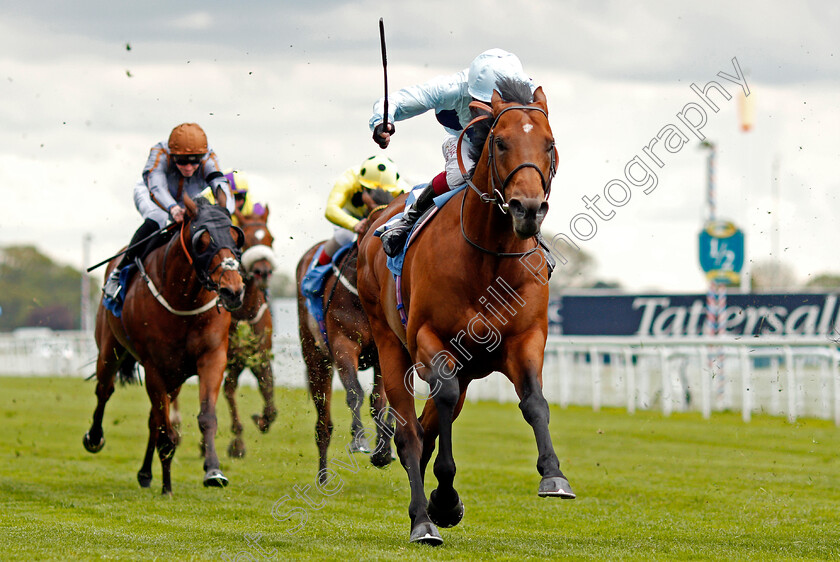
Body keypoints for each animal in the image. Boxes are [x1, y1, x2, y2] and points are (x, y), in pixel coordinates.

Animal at [84, 194, 244, 494]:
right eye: (202, 240)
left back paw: (146, 473)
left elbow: (205, 417)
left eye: (234, 236)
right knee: (104, 390)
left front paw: (213, 470)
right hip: (110, 350)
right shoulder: (155, 367)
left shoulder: (212, 357)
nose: (233, 290)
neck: (184, 299)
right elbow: (165, 430)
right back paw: (95, 438)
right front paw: (167, 486)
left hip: (175, 377)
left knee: (152, 418)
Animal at [296, 186, 398, 480]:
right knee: (323, 420)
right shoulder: (343, 344)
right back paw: (322, 475)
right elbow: (355, 392)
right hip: (316, 358)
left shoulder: (382, 352)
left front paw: (384, 450)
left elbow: (379, 401)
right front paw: (359, 439)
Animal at [358, 80, 576, 544]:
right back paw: (423, 520)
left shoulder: (525, 339)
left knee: (427, 425)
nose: (528, 208)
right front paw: (443, 498)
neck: (488, 259)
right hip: (390, 343)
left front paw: (553, 475)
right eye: (500, 142)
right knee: (410, 431)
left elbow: (534, 401)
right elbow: (438, 405)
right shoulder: (432, 340)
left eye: (549, 144)